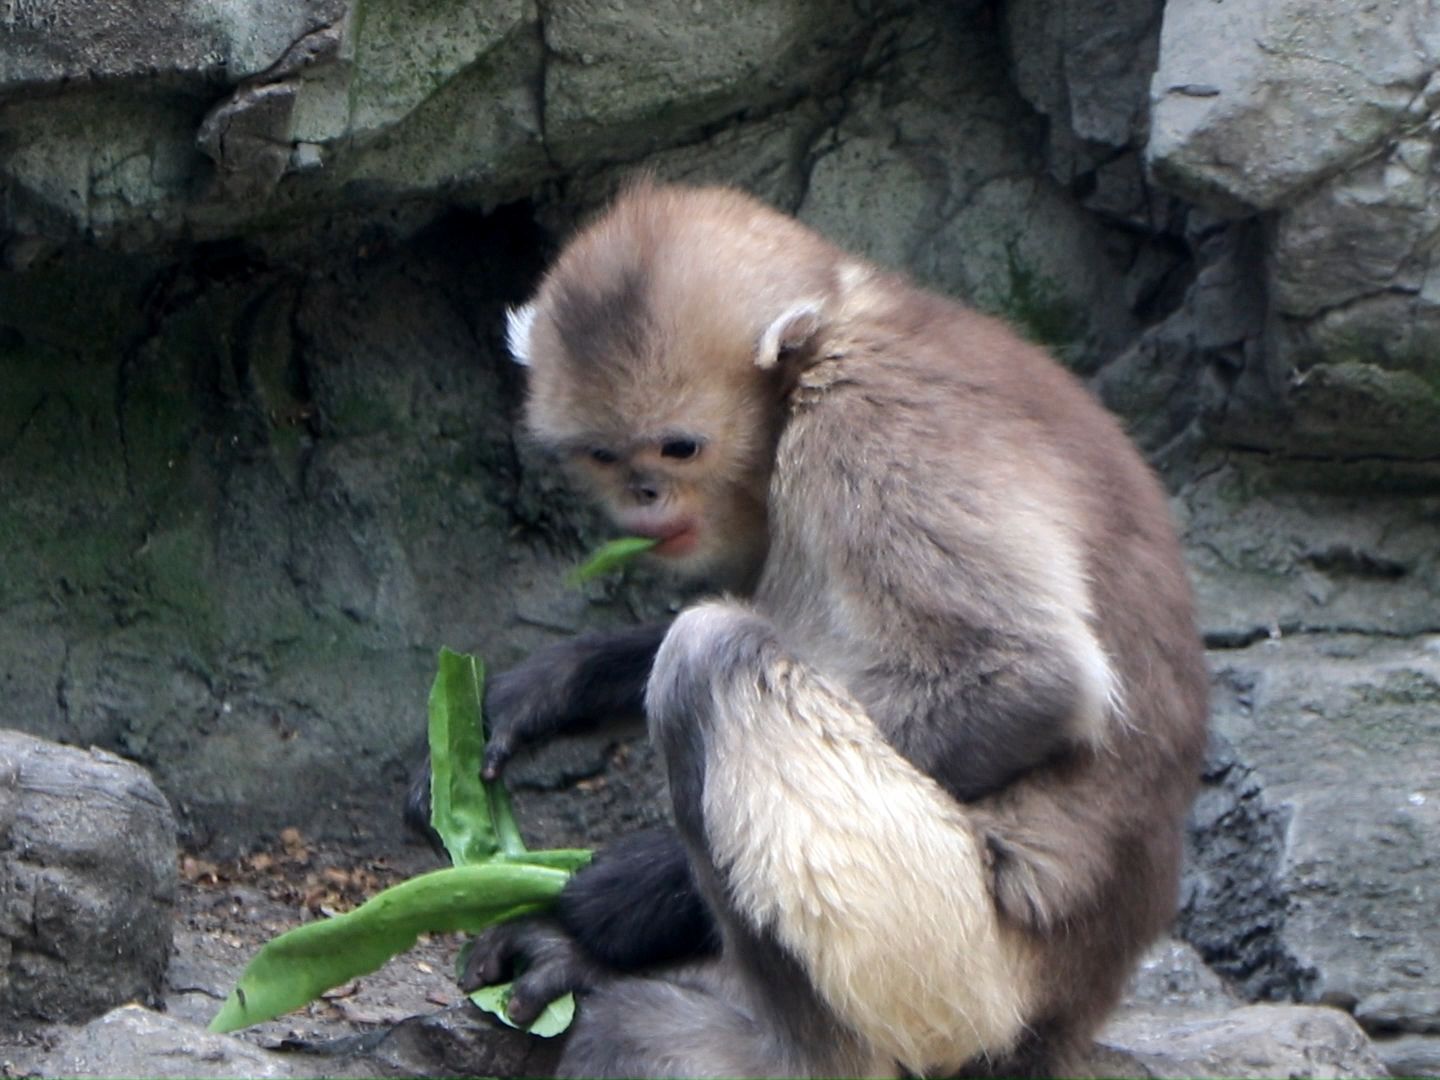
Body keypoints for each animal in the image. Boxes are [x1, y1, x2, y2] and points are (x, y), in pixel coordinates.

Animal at [411, 182, 1209, 1077]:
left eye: (678, 448)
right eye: (606, 456)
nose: (644, 497)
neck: (844, 326)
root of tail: (1078, 998)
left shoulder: (868, 421)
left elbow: (1030, 678)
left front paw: (612, 900)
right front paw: (545, 690)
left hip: (961, 959)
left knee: (709, 655)